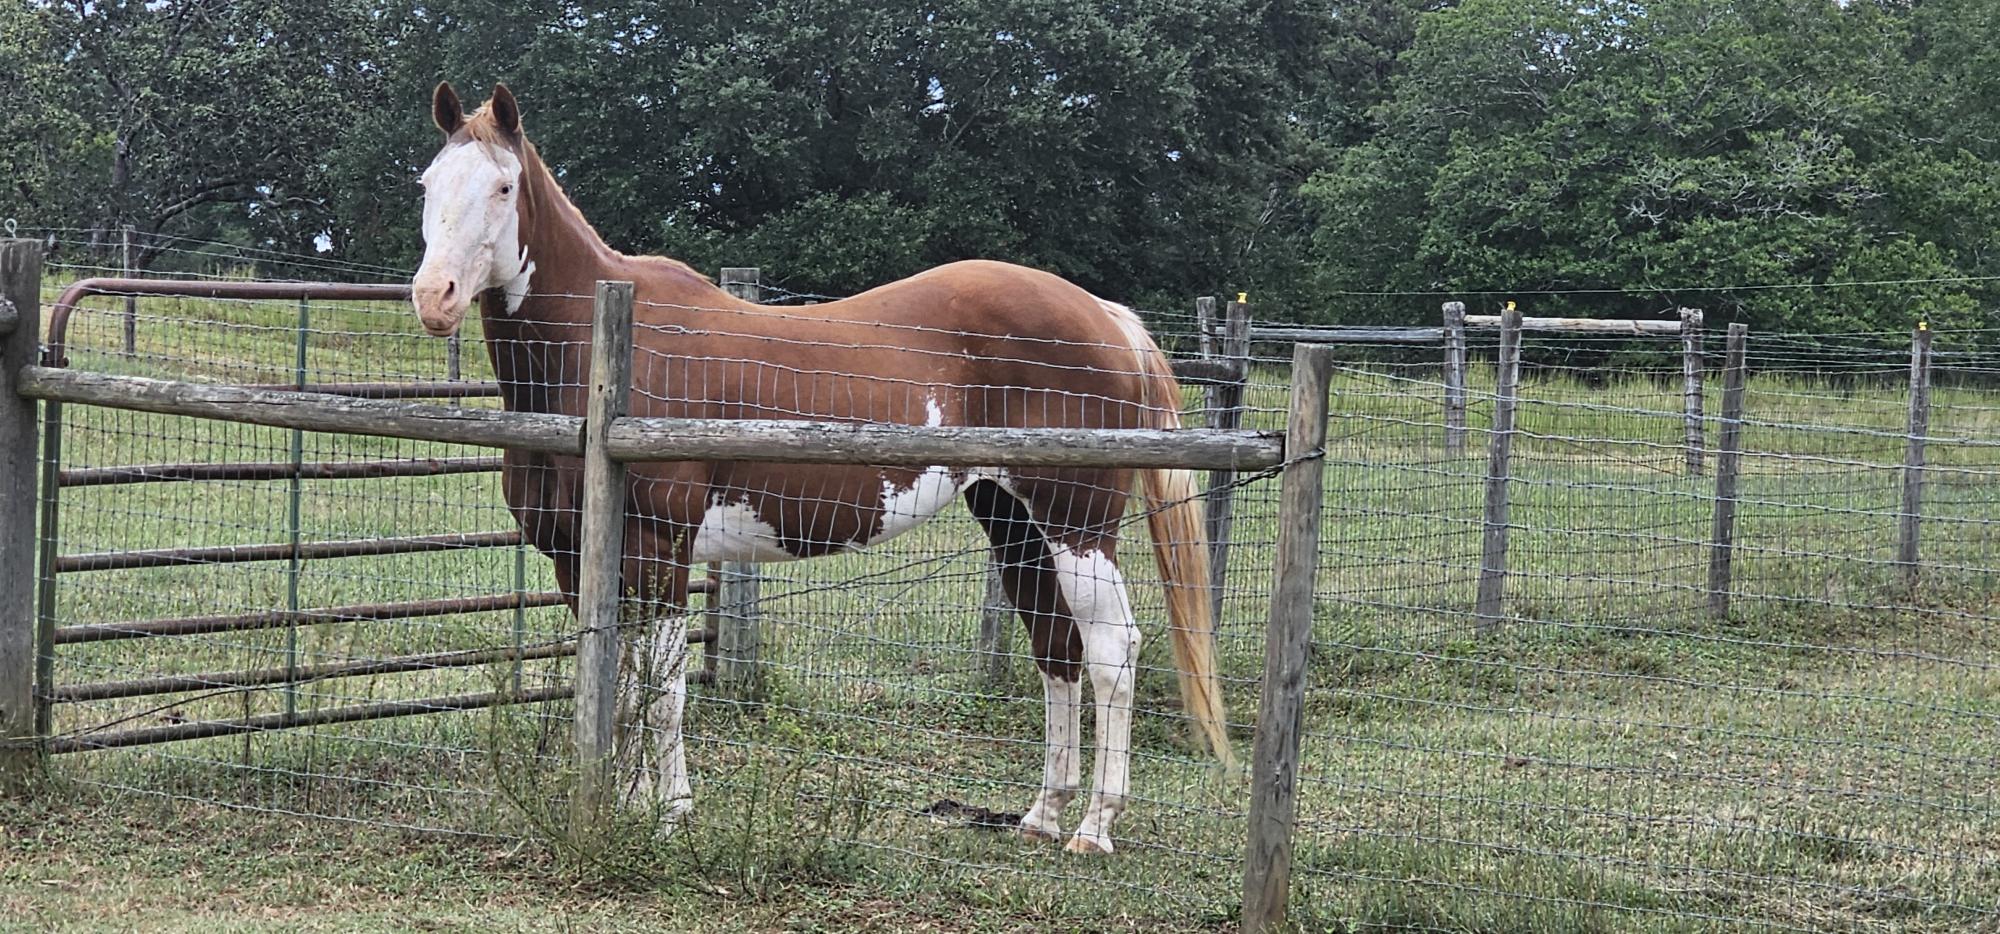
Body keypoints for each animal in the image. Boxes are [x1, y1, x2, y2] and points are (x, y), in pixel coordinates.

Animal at [409, 82, 1230, 855]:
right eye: (427, 182)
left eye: (503, 187)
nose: (433, 298)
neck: (606, 357)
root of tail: (1105, 316)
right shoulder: (578, 559)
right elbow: (611, 681)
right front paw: (621, 802)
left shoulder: (659, 553)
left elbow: (661, 691)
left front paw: (668, 815)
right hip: (1014, 522)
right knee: (1056, 646)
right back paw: (1042, 816)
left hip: (1077, 524)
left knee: (1112, 651)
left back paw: (1095, 826)